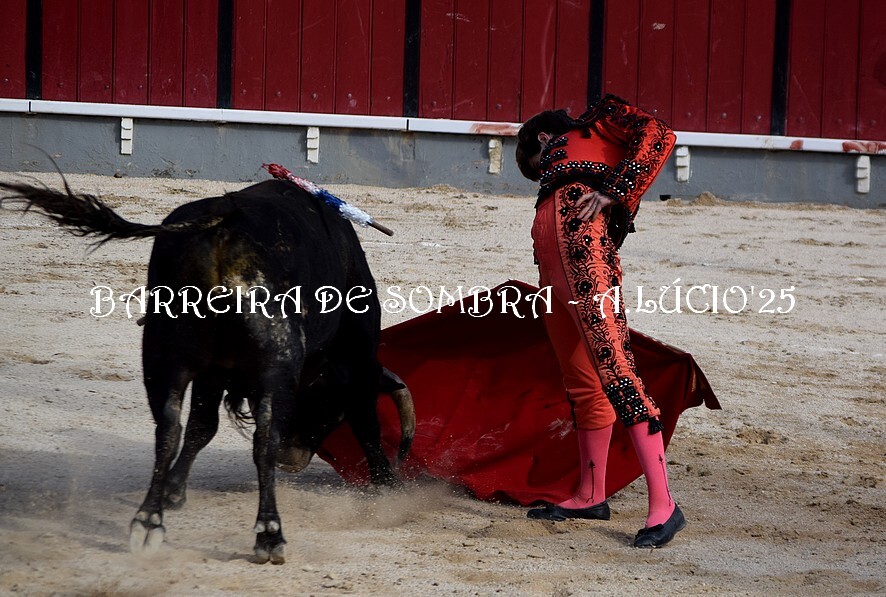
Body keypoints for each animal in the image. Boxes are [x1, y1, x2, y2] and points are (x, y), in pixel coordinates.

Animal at [0, 176, 415, 564]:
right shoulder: (355, 357)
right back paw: (269, 535)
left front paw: (174, 490)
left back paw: (149, 522)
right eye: (331, 413)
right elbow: (366, 424)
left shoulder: (213, 372)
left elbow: (202, 427)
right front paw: (387, 488)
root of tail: (223, 226)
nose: (292, 459)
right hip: (275, 362)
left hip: (164, 355)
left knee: (168, 429)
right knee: (263, 440)